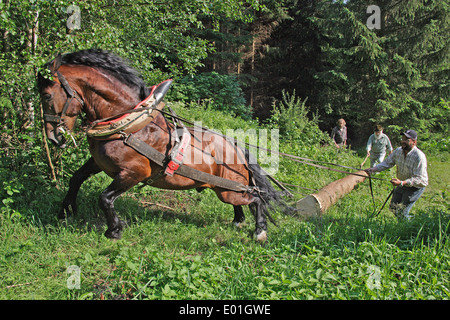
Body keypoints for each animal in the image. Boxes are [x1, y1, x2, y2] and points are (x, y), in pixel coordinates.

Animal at [37, 48, 286, 241]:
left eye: (47, 95)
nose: (53, 137)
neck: (130, 126)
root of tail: (237, 149)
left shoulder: (134, 172)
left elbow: (105, 198)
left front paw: (114, 230)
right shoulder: (98, 162)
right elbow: (76, 178)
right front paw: (66, 211)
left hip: (230, 191)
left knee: (256, 199)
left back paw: (259, 231)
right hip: (225, 189)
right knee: (244, 202)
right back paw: (238, 220)